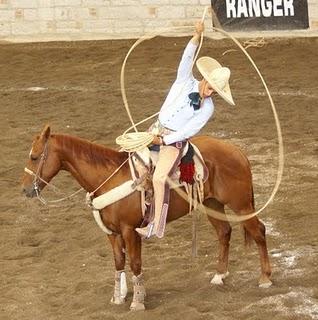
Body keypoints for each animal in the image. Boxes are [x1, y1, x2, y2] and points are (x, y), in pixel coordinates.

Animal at [21, 124, 270, 310]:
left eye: (34, 157)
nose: (25, 190)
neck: (108, 177)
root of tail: (237, 151)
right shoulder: (112, 233)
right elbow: (119, 262)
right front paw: (118, 297)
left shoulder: (130, 231)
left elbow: (135, 263)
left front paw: (138, 301)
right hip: (212, 203)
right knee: (224, 232)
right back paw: (219, 275)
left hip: (241, 205)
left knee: (258, 231)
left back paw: (265, 279)